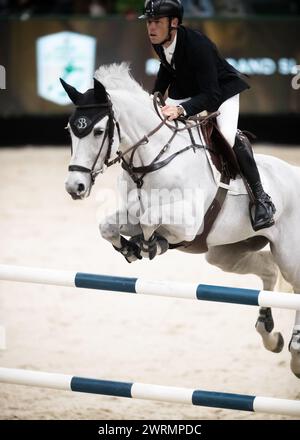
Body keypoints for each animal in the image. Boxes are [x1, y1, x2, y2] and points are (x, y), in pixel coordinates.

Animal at [61, 62, 300, 378]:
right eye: (71, 130)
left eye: (99, 131)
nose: (74, 187)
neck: (150, 161)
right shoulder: (130, 214)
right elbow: (108, 225)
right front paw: (130, 248)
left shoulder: (188, 222)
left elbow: (151, 219)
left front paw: (153, 244)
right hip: (226, 253)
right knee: (269, 270)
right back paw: (270, 335)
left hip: (289, 254)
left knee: (294, 284)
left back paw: (296, 353)